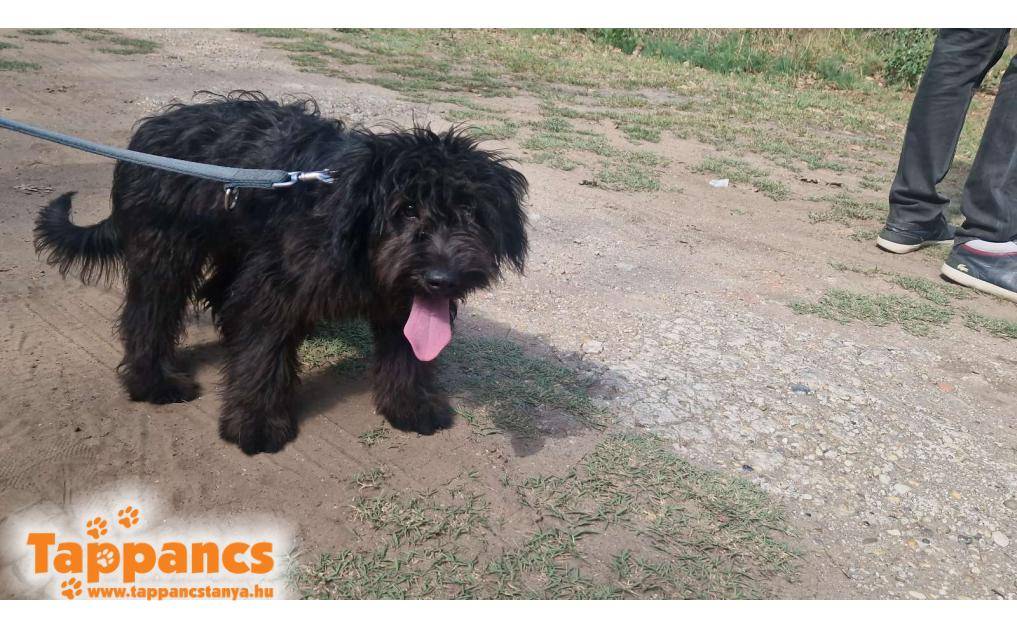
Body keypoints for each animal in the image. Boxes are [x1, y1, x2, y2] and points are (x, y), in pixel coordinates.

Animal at [34, 91, 528, 455]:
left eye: (471, 213)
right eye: (405, 209)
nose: (442, 279)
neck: (346, 217)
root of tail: (149, 133)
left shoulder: (399, 299)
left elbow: (407, 349)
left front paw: (410, 405)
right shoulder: (276, 288)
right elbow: (263, 348)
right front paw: (255, 422)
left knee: (219, 293)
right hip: (167, 250)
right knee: (149, 312)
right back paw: (153, 381)